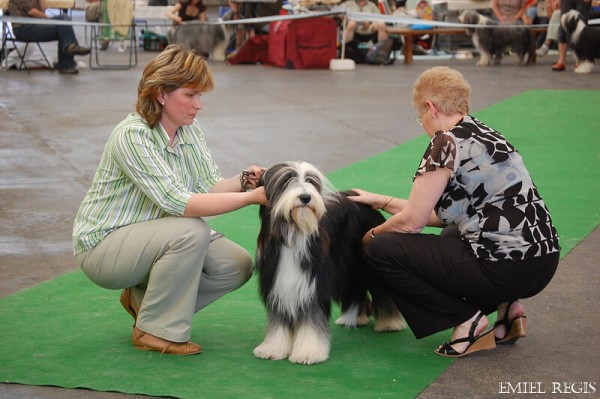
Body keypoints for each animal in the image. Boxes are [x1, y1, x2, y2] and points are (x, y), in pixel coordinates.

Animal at [253, 162, 404, 366]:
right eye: (287, 180)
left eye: (310, 181)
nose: (306, 197)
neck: (294, 232)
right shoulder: (277, 283)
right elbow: (278, 321)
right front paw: (272, 349)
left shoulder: (313, 284)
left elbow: (312, 318)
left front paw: (308, 352)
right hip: (347, 269)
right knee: (355, 290)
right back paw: (354, 318)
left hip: (365, 265)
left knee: (380, 290)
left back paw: (390, 323)